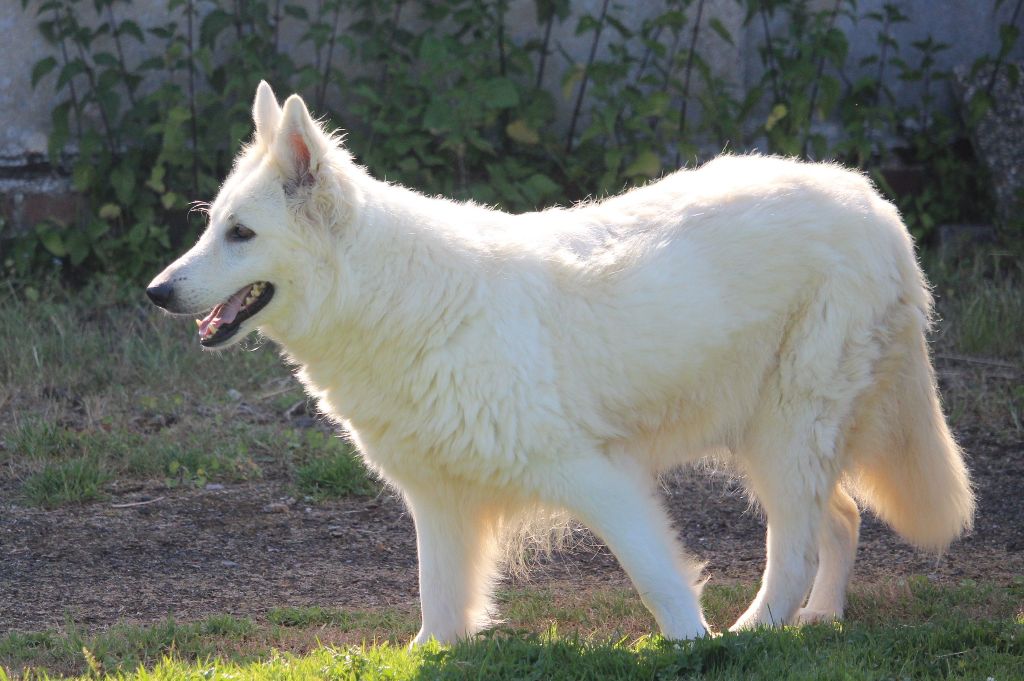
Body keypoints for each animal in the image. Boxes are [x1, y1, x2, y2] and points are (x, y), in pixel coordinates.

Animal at [149, 82, 974, 639]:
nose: (157, 292)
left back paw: (758, 630)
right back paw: (820, 618)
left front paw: (697, 645)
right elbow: (438, 610)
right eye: (213, 227)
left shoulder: (595, 474)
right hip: (764, 437)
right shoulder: (439, 504)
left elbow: (659, 578)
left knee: (800, 542)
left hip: (785, 432)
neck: (399, 298)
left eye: (241, 234)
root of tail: (872, 201)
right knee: (841, 518)